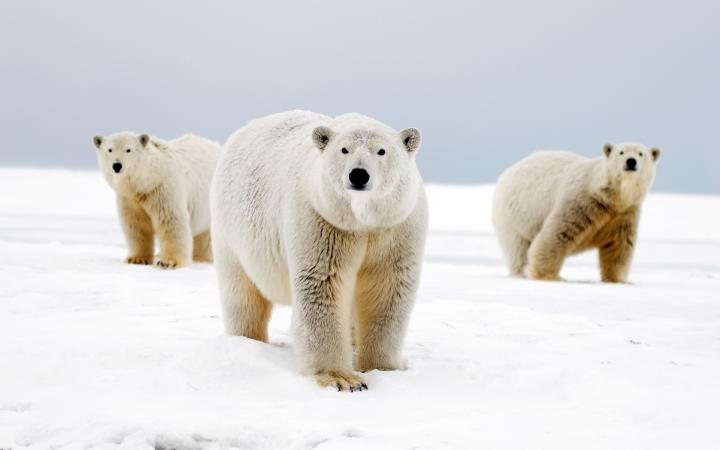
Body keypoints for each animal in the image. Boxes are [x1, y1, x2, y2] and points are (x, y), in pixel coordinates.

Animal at [94, 132, 221, 268]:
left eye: (128, 150)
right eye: (110, 150)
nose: (117, 165)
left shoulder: (163, 190)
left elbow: (170, 221)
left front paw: (169, 262)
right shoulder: (130, 199)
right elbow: (136, 225)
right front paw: (137, 259)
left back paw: (201, 257)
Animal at [212, 110, 428, 392]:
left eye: (381, 151)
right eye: (344, 150)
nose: (358, 175)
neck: (362, 221)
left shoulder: (396, 227)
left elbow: (388, 288)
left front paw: (384, 368)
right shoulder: (322, 220)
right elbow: (323, 283)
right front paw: (343, 379)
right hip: (232, 232)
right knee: (242, 293)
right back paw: (247, 341)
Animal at [492, 142, 660, 284]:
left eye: (641, 153)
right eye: (621, 152)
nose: (631, 161)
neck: (609, 197)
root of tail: (507, 172)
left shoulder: (624, 213)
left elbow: (619, 246)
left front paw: (618, 280)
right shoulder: (580, 202)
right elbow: (556, 235)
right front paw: (546, 276)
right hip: (514, 215)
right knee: (517, 248)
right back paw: (522, 273)